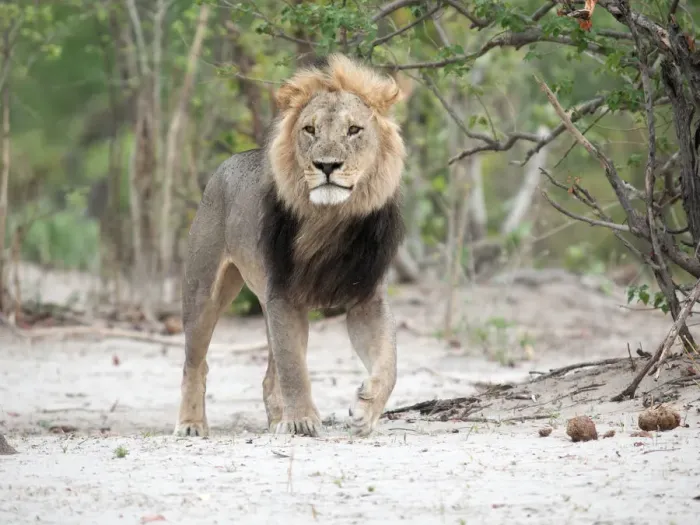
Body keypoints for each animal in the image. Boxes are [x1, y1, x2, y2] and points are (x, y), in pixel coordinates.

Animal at [174, 54, 406, 438]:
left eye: (354, 130)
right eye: (310, 130)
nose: (327, 165)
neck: (330, 219)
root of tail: (228, 162)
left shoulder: (366, 297)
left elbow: (389, 362)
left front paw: (366, 409)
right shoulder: (283, 295)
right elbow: (294, 367)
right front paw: (300, 421)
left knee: (270, 376)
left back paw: (275, 420)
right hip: (202, 293)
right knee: (195, 362)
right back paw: (191, 424)